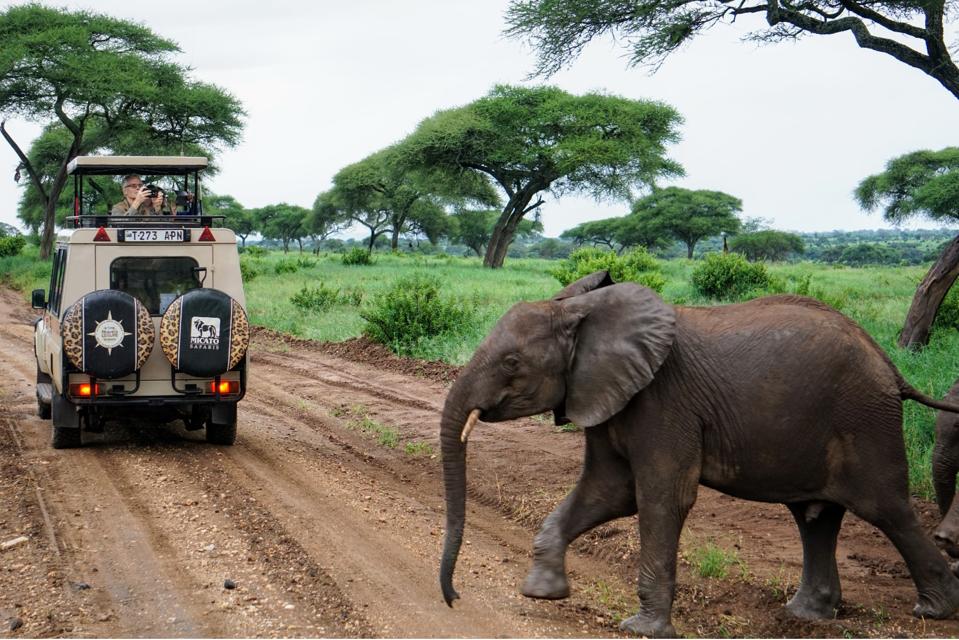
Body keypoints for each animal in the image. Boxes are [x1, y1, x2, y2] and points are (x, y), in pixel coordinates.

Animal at [439, 271, 959, 638]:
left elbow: (660, 498)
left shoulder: (663, 402)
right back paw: (806, 616)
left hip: (864, 420)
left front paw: (642, 629)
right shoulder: (606, 394)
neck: (583, 313)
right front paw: (541, 593)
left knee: (887, 509)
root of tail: (890, 365)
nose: (452, 598)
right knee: (816, 517)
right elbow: (607, 492)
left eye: (511, 363)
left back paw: (935, 610)